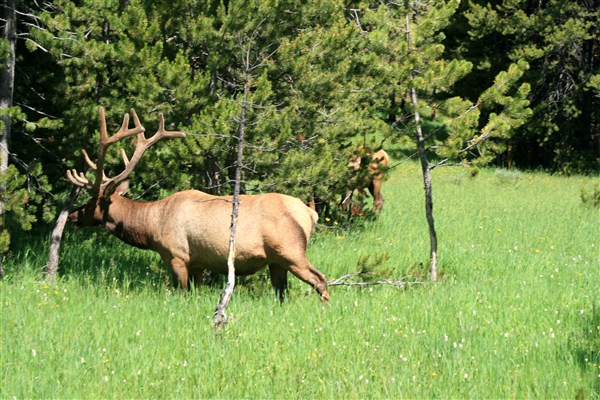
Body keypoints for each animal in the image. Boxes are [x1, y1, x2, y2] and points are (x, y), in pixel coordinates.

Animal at [66, 107, 330, 302]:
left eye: (89, 202)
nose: (71, 216)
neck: (151, 227)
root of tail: (310, 213)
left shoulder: (177, 256)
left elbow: (180, 293)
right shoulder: (198, 264)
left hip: (291, 251)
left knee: (320, 279)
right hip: (276, 261)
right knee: (281, 292)